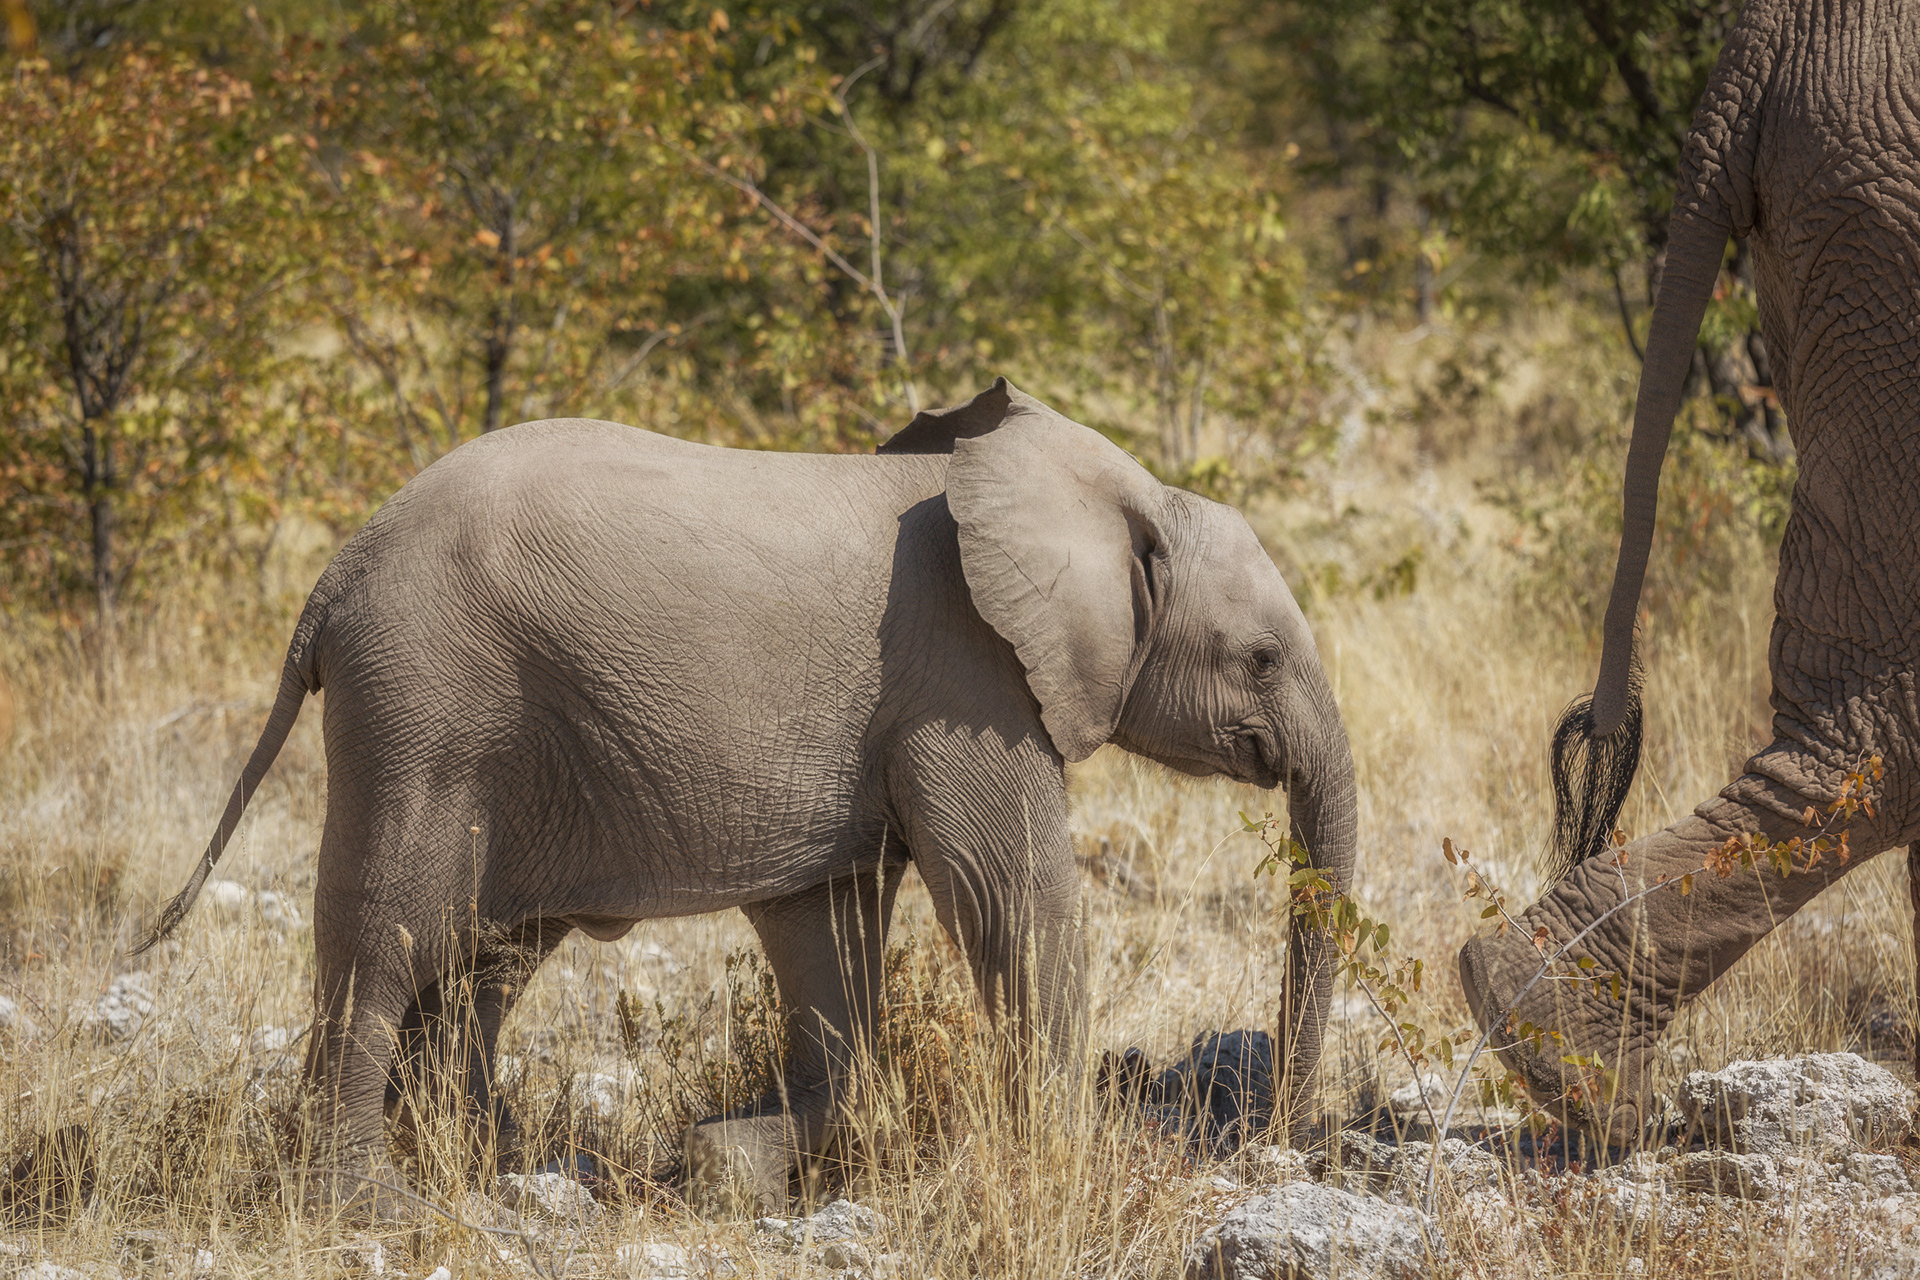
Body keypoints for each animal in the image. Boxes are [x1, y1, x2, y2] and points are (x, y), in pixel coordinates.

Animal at [140, 377, 1357, 1213]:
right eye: (1258, 658)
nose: (1280, 1144)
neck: (1108, 495)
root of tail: (333, 579)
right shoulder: (968, 677)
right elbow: (1009, 893)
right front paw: (1062, 1163)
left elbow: (829, 928)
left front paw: (725, 1159)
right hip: (422, 702)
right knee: (390, 932)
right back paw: (370, 1205)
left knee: (486, 957)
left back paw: (488, 1166)